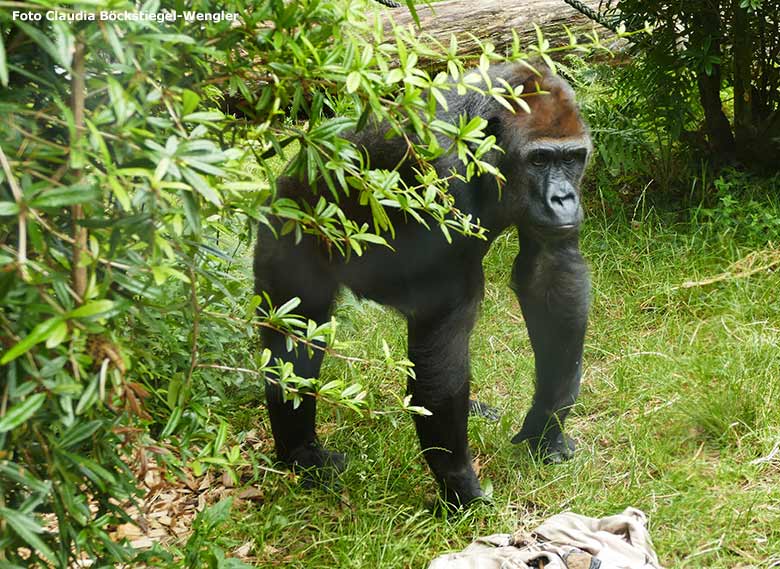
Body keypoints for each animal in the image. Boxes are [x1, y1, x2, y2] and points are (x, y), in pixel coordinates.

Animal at [256, 64, 592, 508]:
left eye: (571, 158)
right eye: (539, 159)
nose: (563, 198)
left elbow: (549, 275)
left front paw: (546, 425)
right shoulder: (441, 171)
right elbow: (443, 331)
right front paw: (460, 483)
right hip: (287, 225)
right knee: (294, 340)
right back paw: (300, 453)